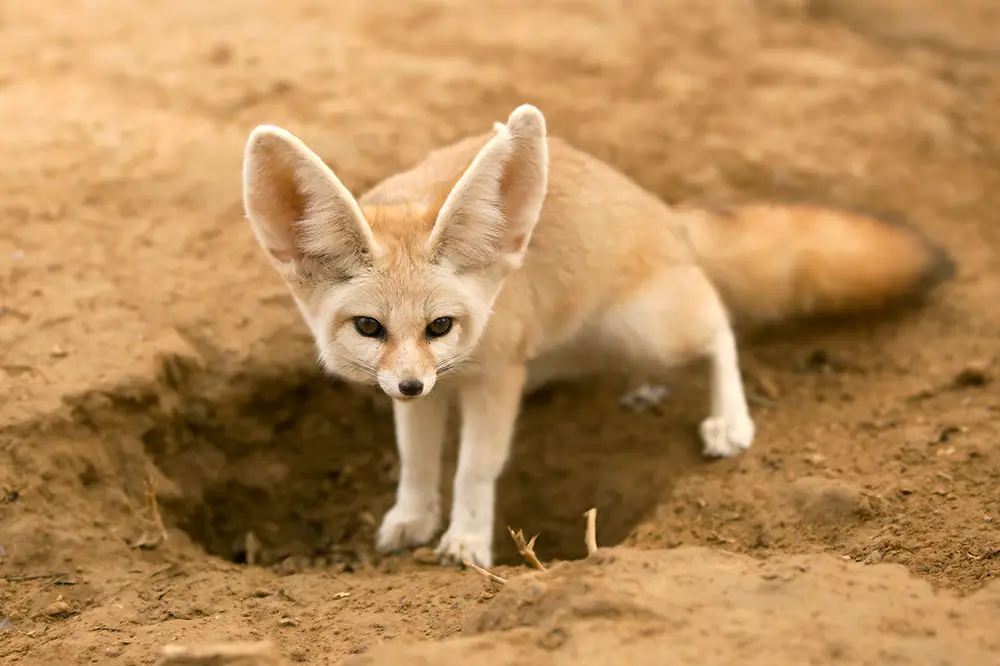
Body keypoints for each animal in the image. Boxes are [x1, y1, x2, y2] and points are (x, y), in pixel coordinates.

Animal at [240, 104, 952, 564]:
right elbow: (416, 460)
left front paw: (467, 540)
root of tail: (664, 212)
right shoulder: (428, 390)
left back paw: (730, 419)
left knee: (719, 322)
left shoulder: (496, 377)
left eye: (440, 325)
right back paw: (647, 389)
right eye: (369, 327)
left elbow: (475, 467)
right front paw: (412, 519)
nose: (412, 383)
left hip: (648, 326)